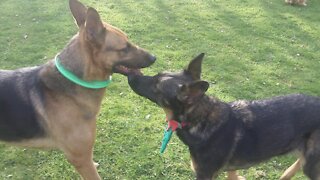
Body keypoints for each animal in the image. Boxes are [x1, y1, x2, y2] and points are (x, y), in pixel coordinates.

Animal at [127, 53, 320, 180]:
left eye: (156, 87)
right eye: (156, 75)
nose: (130, 74)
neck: (200, 118)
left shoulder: (204, 175)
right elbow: (233, 174)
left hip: (311, 163)